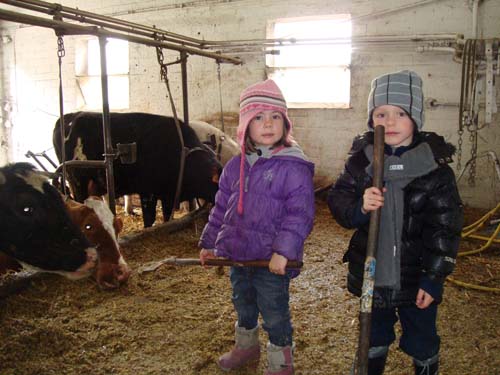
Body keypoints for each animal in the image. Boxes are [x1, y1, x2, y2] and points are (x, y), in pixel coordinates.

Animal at [53, 111, 223, 228]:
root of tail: (70, 116)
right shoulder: (148, 192)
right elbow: (149, 218)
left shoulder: (168, 194)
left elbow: (167, 217)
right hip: (77, 181)